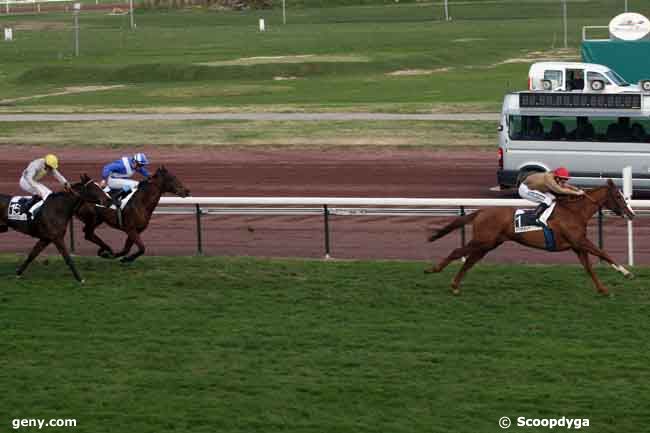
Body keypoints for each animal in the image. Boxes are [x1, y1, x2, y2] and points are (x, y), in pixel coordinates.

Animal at [426, 178, 632, 294]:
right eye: (619, 197)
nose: (631, 214)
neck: (574, 212)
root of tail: (481, 211)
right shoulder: (580, 241)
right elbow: (603, 253)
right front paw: (625, 272)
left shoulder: (577, 246)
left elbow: (589, 268)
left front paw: (603, 289)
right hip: (482, 240)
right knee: (457, 251)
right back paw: (434, 270)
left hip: (488, 244)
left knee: (469, 261)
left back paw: (455, 285)